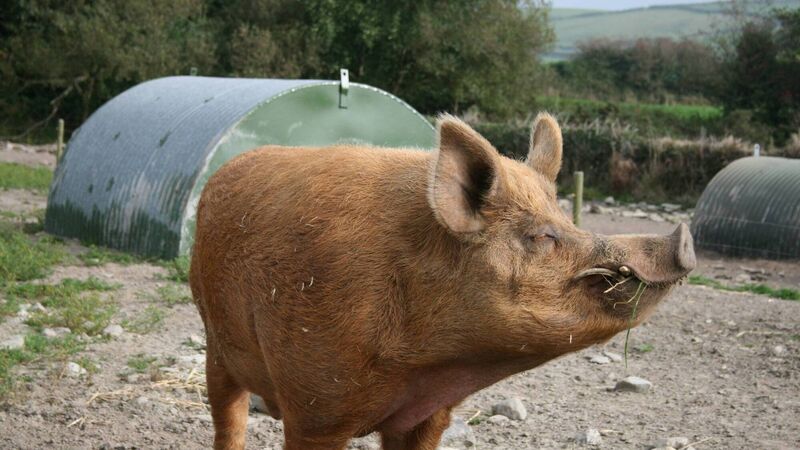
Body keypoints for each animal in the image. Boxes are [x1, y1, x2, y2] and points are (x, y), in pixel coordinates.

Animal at [189, 113, 696, 450]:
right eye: (541, 236)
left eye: (565, 220)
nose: (683, 237)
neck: (427, 366)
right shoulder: (315, 407)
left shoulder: (430, 415)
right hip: (213, 337)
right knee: (228, 417)